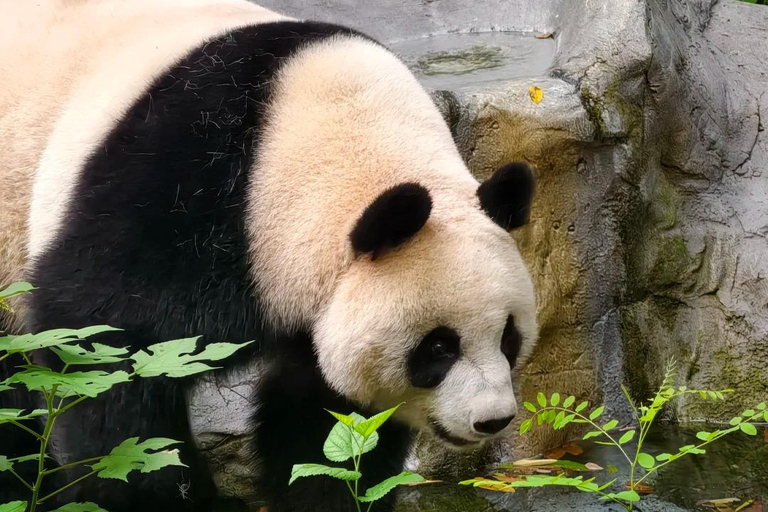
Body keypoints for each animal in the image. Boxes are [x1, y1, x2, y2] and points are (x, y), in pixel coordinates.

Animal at [0, 1, 538, 511]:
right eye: (439, 347)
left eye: (509, 337)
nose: (492, 420)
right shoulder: (176, 190)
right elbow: (103, 341)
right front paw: (163, 495)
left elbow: (324, 422)